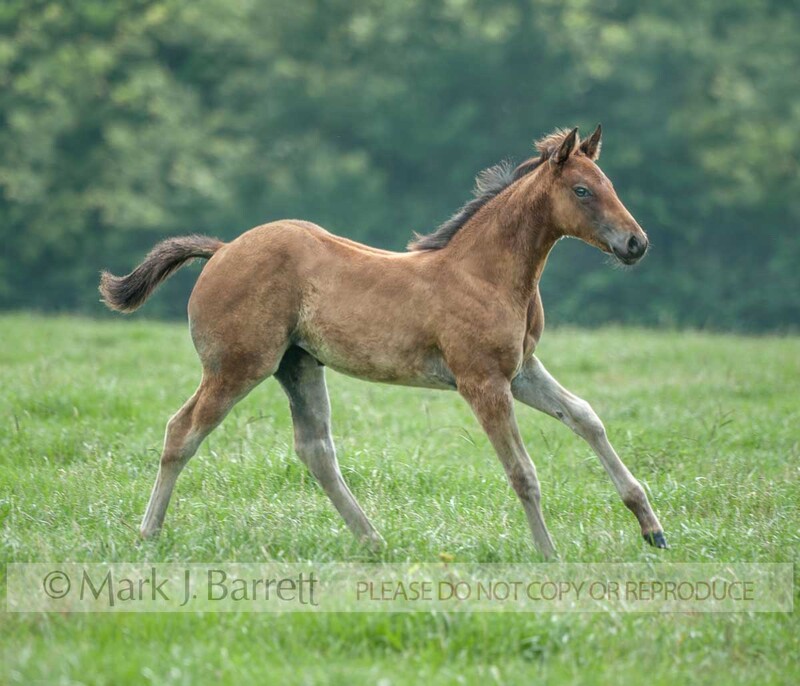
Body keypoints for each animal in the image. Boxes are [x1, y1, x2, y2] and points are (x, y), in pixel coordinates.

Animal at [100, 125, 667, 558]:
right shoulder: (482, 381)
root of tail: (220, 250)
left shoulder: (522, 371)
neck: (486, 272)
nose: (636, 243)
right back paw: (147, 535)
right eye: (582, 191)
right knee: (182, 430)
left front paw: (652, 527)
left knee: (315, 449)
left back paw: (373, 540)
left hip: (298, 365)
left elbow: (587, 417)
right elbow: (523, 471)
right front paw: (548, 555)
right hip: (238, 366)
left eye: (608, 183)